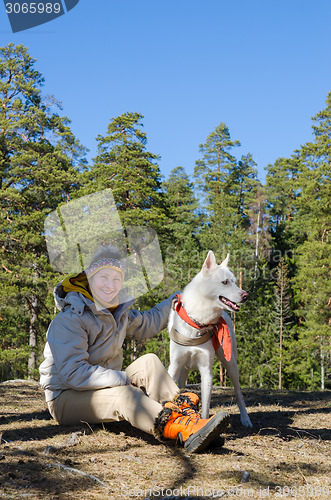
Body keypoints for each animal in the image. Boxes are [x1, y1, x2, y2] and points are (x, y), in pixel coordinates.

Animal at [170, 250, 253, 426]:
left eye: (235, 282)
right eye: (225, 282)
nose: (246, 296)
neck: (197, 323)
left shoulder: (206, 371)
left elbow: (206, 407)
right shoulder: (174, 366)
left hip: (231, 364)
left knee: (239, 394)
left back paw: (245, 418)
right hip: (183, 369)